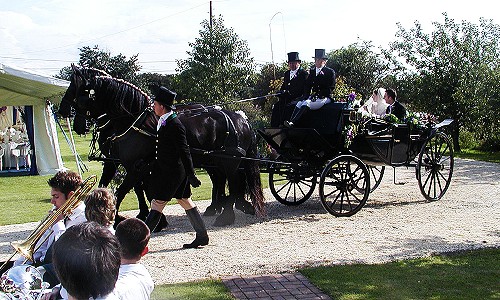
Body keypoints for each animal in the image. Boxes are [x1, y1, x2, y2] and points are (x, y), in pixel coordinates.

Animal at [59, 65, 266, 225]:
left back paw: (227, 214)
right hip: (214, 160)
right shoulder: (122, 163)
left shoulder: (136, 166)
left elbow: (124, 190)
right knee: (224, 180)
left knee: (234, 181)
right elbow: (129, 189)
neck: (134, 120)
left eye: (78, 90)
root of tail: (240, 118)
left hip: (228, 160)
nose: (63, 111)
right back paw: (224, 207)